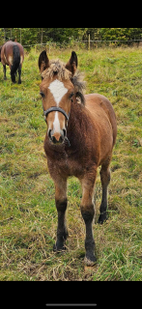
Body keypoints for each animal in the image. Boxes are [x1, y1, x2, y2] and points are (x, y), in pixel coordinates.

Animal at [38, 50, 117, 264]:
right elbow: (60, 203)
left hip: (107, 157)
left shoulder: (88, 172)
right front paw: (60, 242)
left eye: (71, 94)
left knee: (105, 179)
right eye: (42, 93)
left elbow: (87, 209)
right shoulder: (56, 171)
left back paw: (103, 214)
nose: (56, 135)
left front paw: (90, 252)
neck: (67, 145)